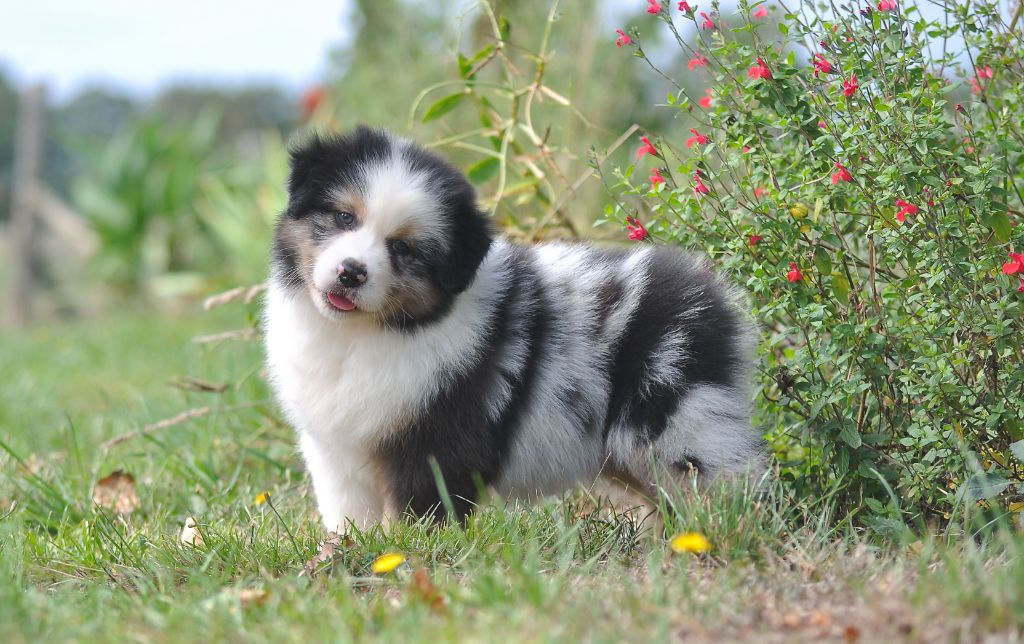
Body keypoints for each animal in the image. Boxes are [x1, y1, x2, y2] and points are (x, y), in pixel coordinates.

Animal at [263, 125, 766, 532]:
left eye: (402, 249)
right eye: (344, 217)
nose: (351, 272)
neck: (369, 333)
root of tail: (713, 291)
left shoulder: (438, 436)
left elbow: (418, 510)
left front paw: (409, 554)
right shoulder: (335, 448)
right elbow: (348, 513)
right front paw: (351, 551)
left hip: (679, 418)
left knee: (729, 478)